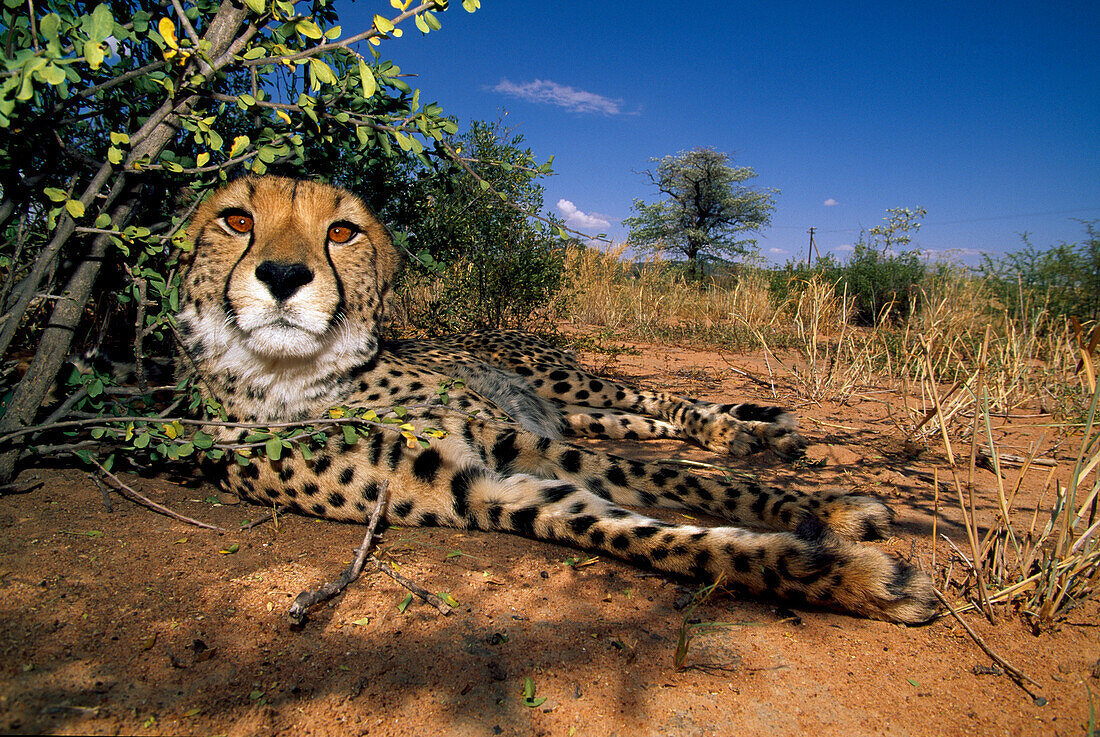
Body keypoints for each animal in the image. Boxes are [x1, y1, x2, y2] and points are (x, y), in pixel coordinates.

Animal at [173, 176, 937, 624]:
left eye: (342, 230)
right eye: (237, 221)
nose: (283, 275)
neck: (302, 379)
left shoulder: (505, 437)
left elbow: (677, 479)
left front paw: (831, 511)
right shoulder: (476, 488)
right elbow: (650, 532)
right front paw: (850, 575)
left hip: (564, 382)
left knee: (663, 399)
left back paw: (753, 430)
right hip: (571, 406)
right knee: (638, 418)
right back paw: (747, 433)